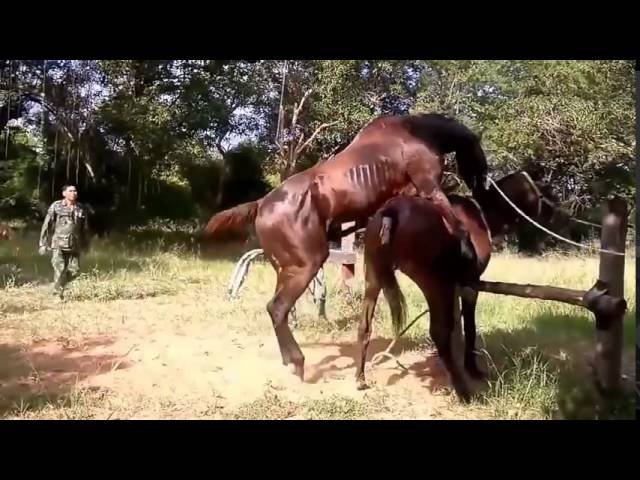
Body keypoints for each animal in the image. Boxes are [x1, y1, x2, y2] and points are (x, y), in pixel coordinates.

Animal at [202, 111, 488, 378]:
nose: (483, 186)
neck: (415, 132)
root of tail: (261, 204)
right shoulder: (429, 187)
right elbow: (457, 224)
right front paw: (467, 249)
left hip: (286, 269)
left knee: (278, 309)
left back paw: (290, 361)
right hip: (306, 265)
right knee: (277, 308)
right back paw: (297, 362)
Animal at [356, 169, 564, 402]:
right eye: (543, 193)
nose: (555, 213)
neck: (484, 213)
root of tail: (391, 212)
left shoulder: (455, 286)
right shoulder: (470, 284)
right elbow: (470, 327)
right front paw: (472, 368)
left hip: (373, 277)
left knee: (365, 327)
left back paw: (360, 378)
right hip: (433, 284)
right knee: (439, 333)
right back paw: (463, 390)